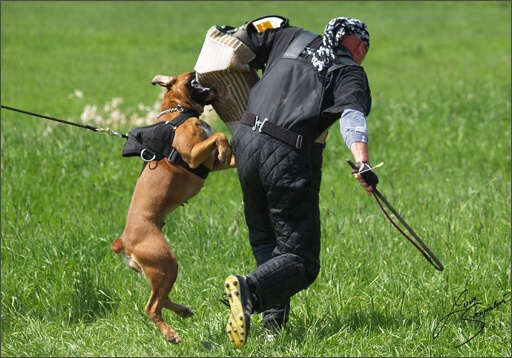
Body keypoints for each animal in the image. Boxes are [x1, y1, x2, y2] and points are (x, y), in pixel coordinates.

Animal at [112, 71, 234, 342]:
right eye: (192, 78)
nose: (201, 74)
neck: (177, 111)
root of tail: (124, 241)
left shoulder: (211, 164)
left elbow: (227, 152)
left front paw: (229, 151)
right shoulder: (192, 154)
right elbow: (218, 136)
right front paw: (224, 146)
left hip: (160, 271)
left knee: (161, 298)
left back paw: (183, 311)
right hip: (166, 263)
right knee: (152, 306)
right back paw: (170, 334)